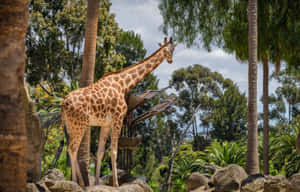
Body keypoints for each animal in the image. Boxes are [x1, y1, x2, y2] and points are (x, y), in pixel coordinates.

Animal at [61, 36, 178, 187]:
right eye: (171, 49)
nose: (171, 60)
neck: (123, 85)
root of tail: (63, 104)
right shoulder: (118, 120)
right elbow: (114, 151)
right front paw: (116, 184)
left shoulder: (105, 124)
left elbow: (100, 152)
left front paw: (97, 182)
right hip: (80, 125)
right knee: (72, 149)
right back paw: (75, 182)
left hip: (70, 126)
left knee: (71, 149)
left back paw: (79, 182)